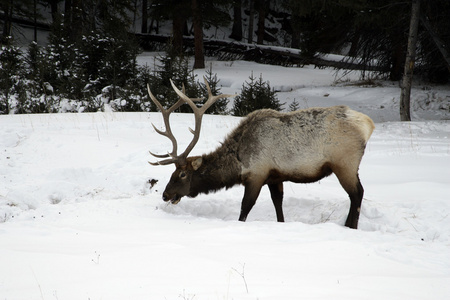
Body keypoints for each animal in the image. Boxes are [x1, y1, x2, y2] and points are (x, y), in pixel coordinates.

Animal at [149, 78, 374, 229]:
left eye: (182, 174)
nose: (165, 194)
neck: (238, 161)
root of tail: (368, 124)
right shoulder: (275, 177)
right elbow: (278, 205)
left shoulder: (256, 174)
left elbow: (245, 207)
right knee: (356, 195)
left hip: (345, 163)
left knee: (357, 193)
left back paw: (351, 227)